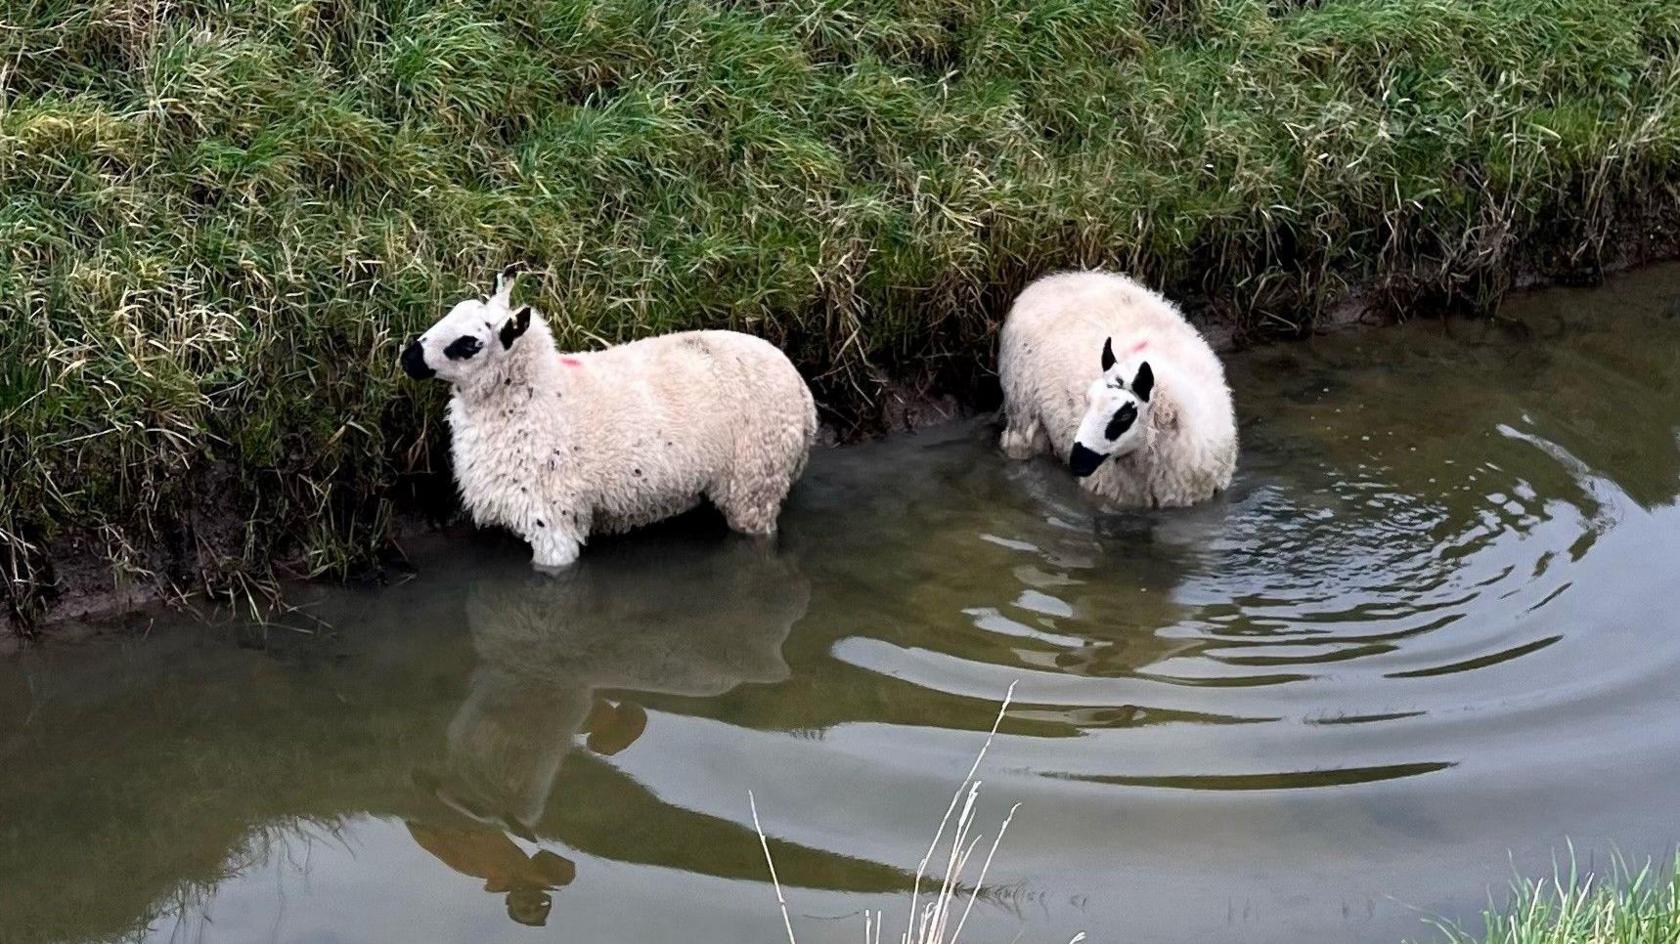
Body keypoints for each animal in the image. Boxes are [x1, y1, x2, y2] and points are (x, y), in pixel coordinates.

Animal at [393, 268, 813, 571]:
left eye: (468, 344)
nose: (407, 358)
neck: (538, 396)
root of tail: (803, 392)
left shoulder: (552, 518)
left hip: (755, 479)